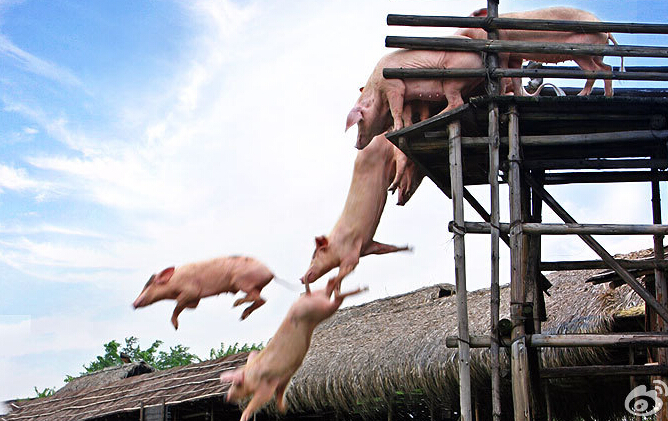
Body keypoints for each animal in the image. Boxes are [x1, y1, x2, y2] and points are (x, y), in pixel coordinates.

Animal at [133, 256, 275, 329]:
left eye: (148, 285)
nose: (133, 304)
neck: (173, 282)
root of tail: (271, 273)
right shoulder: (195, 297)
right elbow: (192, 306)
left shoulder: (189, 291)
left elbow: (178, 305)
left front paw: (176, 327)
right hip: (254, 286)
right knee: (262, 300)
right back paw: (242, 315)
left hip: (242, 282)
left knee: (257, 298)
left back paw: (236, 303)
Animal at [221, 286, 367, 421]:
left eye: (236, 384)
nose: (226, 397)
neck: (251, 374)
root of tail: (306, 296)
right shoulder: (284, 377)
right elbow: (280, 393)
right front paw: (283, 409)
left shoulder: (267, 383)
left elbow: (263, 397)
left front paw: (244, 417)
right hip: (318, 304)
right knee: (329, 291)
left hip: (317, 309)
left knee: (335, 300)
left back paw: (358, 290)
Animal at [301, 134, 411, 295]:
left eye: (315, 255)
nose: (301, 278)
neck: (335, 245)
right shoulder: (368, 246)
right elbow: (386, 248)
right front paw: (409, 248)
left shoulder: (351, 255)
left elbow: (342, 273)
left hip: (382, 150)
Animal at [346, 41, 485, 150]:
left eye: (359, 121)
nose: (355, 145)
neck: (378, 93)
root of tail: (480, 61)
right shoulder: (407, 97)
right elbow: (406, 113)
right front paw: (408, 126)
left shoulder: (393, 86)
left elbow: (396, 110)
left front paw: (396, 129)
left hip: (452, 79)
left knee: (457, 102)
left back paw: (437, 116)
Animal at [456, 7, 620, 97]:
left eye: (464, 24)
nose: (455, 33)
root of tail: (606, 31)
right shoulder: (516, 57)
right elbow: (516, 77)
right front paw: (517, 95)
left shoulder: (503, 49)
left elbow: (502, 72)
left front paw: (501, 94)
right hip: (597, 54)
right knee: (607, 68)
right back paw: (608, 94)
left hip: (581, 53)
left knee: (594, 70)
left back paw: (582, 94)